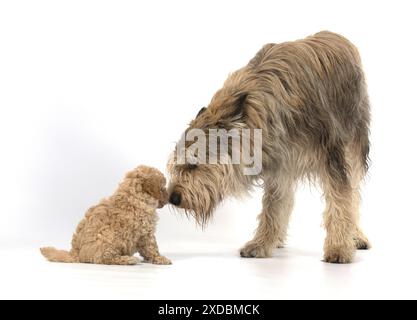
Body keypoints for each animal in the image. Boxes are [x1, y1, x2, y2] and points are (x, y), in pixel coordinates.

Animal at [167, 31, 368, 264]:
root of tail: (336, 35)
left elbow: (341, 202)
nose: (173, 198)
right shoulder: (279, 164)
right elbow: (274, 206)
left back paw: (356, 235)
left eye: (193, 164)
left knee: (354, 193)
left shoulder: (332, 157)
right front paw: (262, 243)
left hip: (355, 142)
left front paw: (339, 247)